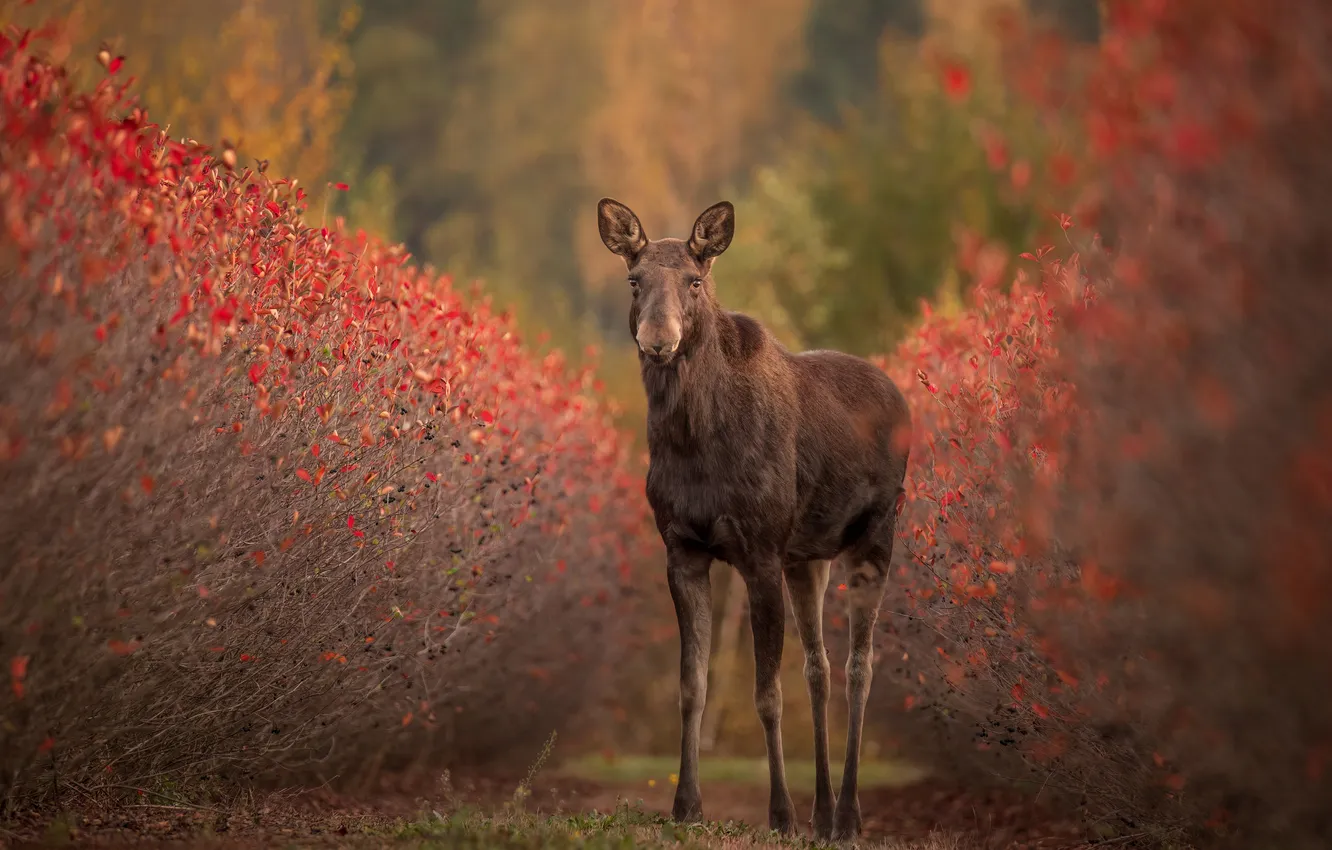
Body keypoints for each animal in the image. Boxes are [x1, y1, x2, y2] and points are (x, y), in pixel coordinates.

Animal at [596, 198, 911, 841]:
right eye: (634, 279)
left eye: (695, 280)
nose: (658, 339)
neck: (693, 443)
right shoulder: (683, 551)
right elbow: (692, 684)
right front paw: (686, 805)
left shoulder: (760, 552)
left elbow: (767, 694)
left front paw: (780, 813)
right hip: (808, 557)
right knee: (818, 667)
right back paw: (824, 812)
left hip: (875, 535)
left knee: (859, 666)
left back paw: (847, 814)